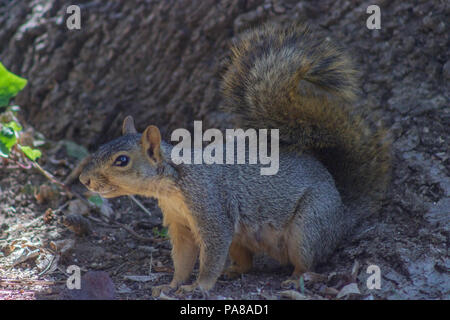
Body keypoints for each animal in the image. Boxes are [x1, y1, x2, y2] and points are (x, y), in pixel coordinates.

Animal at [78, 22, 390, 296]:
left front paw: (199, 286)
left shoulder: (211, 209)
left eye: (121, 160)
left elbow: (210, 256)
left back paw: (297, 277)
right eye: (102, 146)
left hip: (310, 224)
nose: (83, 179)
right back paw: (234, 270)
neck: (173, 183)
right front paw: (171, 284)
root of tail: (342, 210)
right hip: (241, 238)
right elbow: (183, 258)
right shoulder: (180, 224)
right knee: (247, 263)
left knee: (310, 261)